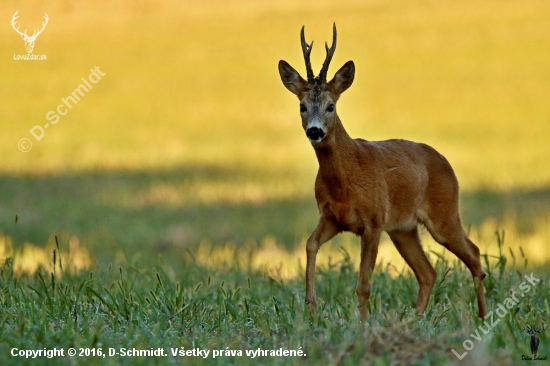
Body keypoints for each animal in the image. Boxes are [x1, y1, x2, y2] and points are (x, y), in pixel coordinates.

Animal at [280, 23, 488, 320]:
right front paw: (312, 305)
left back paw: (482, 316)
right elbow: (310, 245)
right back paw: (415, 319)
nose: (315, 131)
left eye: (331, 106)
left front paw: (363, 323)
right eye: (302, 106)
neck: (344, 184)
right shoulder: (331, 217)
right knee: (428, 272)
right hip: (403, 228)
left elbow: (364, 284)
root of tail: (445, 161)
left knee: (474, 253)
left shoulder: (374, 221)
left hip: (444, 213)